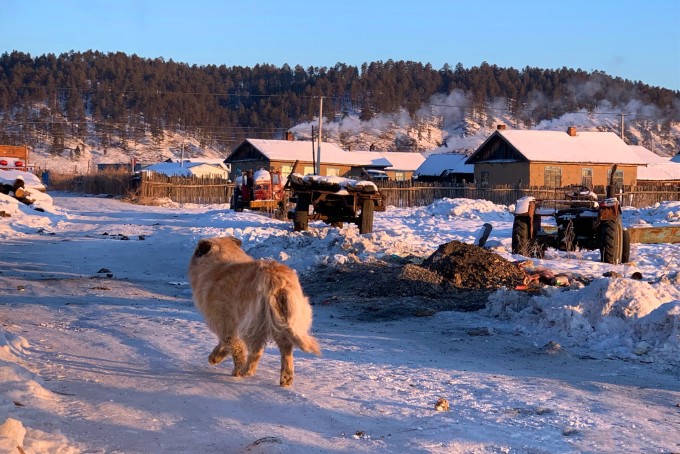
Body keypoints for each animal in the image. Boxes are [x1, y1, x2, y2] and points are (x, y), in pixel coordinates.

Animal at [189, 234, 322, 386]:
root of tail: (277, 281)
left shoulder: (224, 321)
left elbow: (234, 346)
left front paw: (229, 364)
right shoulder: (229, 324)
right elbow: (228, 343)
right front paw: (217, 355)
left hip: (255, 324)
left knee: (256, 351)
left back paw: (246, 371)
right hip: (282, 321)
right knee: (286, 348)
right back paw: (286, 378)